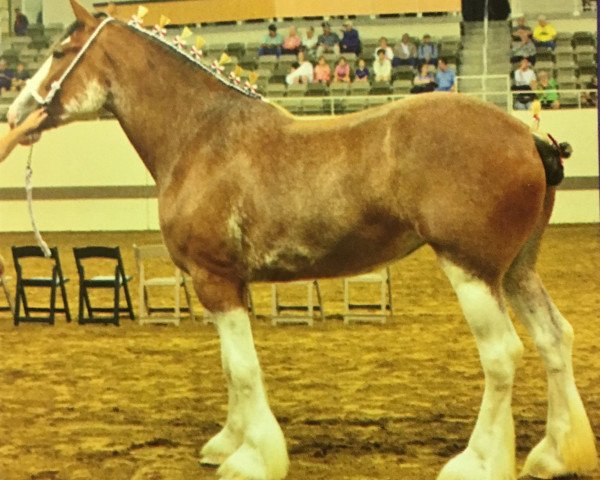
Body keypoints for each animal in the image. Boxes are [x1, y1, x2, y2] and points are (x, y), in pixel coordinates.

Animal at [7, 1, 596, 478]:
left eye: (60, 51)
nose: (15, 112)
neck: (202, 136)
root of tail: (529, 135)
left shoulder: (214, 279)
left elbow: (244, 369)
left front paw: (251, 459)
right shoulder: (228, 284)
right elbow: (232, 367)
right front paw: (228, 443)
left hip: (471, 269)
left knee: (502, 354)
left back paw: (475, 463)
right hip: (517, 270)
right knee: (554, 339)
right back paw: (554, 455)